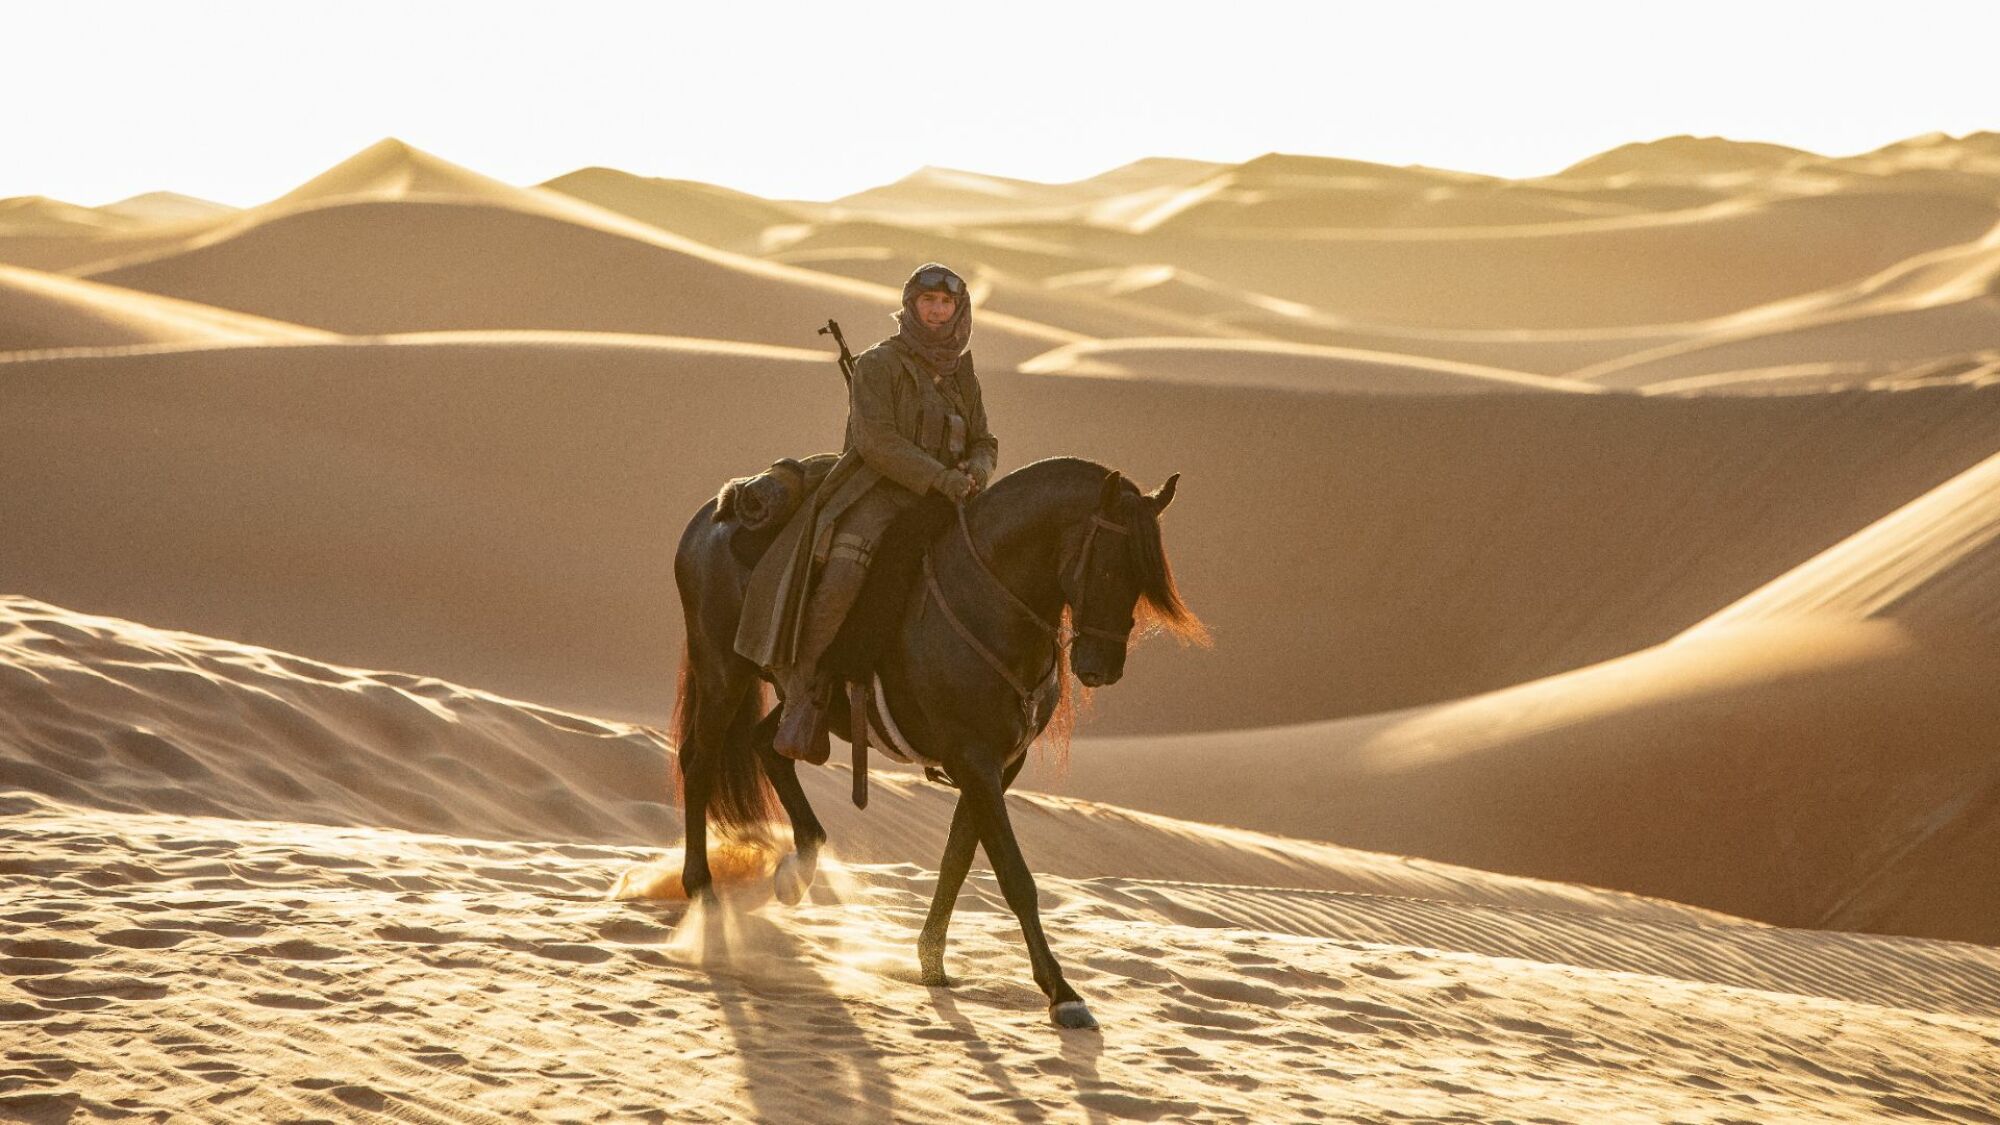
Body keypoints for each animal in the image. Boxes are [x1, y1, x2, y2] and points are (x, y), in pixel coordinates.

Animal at [672, 452, 1200, 1024]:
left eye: (1141, 578)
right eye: (1107, 566)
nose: (1102, 668)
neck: (990, 600)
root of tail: (712, 514)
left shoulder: (997, 765)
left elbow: (956, 860)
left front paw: (931, 962)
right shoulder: (973, 758)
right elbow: (1014, 876)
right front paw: (1063, 992)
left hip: (806, 704)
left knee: (768, 746)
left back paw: (797, 869)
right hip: (723, 674)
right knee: (699, 766)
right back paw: (704, 895)